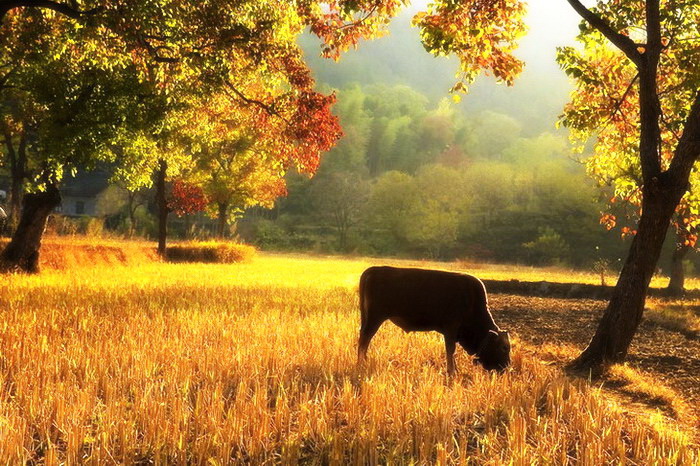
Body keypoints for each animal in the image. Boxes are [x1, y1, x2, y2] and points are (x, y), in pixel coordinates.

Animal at [358, 268, 512, 374]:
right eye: (504, 347)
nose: (506, 367)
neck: (472, 301)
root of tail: (374, 270)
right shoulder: (451, 330)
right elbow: (450, 350)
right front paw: (451, 372)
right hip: (374, 319)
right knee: (364, 340)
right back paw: (361, 363)